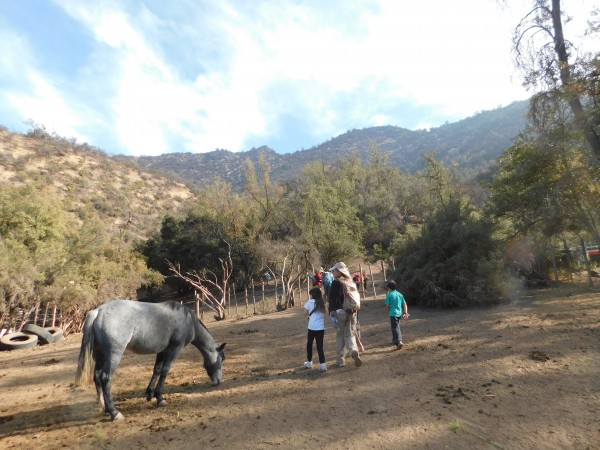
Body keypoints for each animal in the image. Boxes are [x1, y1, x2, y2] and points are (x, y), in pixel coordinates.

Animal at [75, 298, 225, 422]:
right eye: (221, 359)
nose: (218, 381)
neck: (187, 319)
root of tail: (98, 312)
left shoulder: (162, 351)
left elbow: (156, 370)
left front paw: (150, 394)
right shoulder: (174, 349)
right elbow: (165, 371)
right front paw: (160, 398)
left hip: (100, 354)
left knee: (97, 377)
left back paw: (104, 408)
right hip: (113, 355)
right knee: (105, 378)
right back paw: (114, 412)